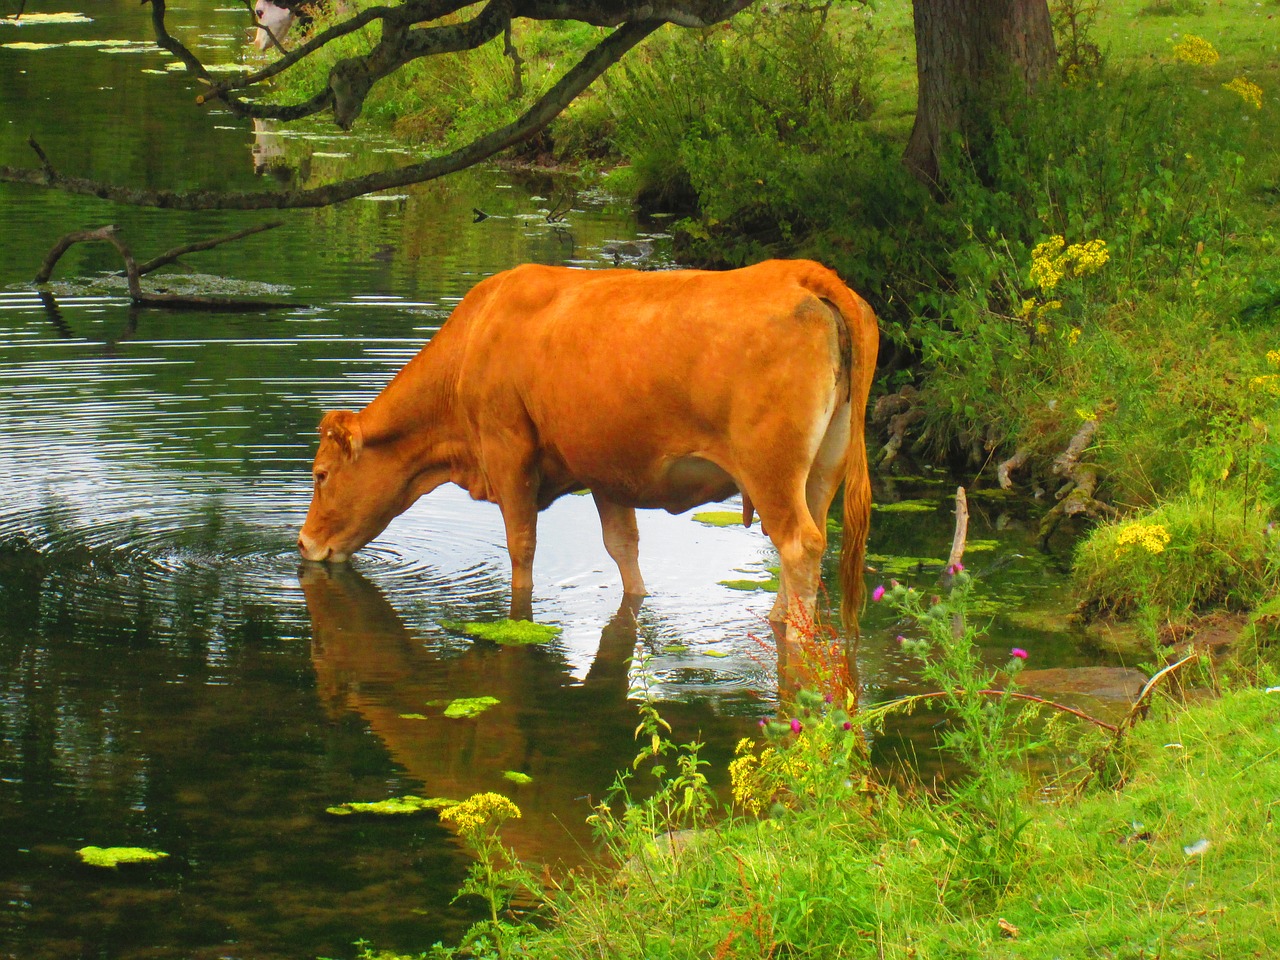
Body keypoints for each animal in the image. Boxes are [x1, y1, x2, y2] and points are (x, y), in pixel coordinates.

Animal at [299, 261, 880, 640]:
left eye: (321, 474)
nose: (304, 544)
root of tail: (799, 272)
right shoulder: (607, 470)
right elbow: (623, 549)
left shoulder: (508, 452)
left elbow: (522, 549)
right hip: (823, 466)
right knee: (811, 539)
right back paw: (780, 619)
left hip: (771, 469)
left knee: (799, 544)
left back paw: (796, 636)